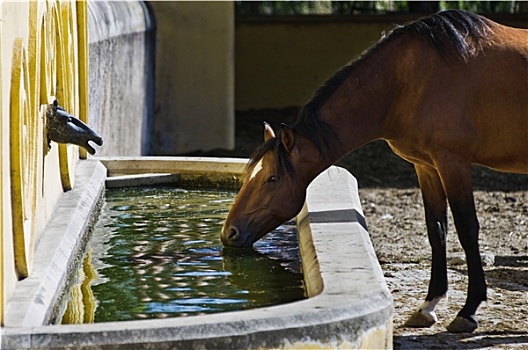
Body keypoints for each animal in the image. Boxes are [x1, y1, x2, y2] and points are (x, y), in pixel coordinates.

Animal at [221, 10, 524, 334]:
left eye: (272, 178)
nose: (229, 232)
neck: (407, 83)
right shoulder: (426, 166)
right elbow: (436, 230)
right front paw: (428, 306)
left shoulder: (453, 163)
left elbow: (467, 229)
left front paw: (468, 311)